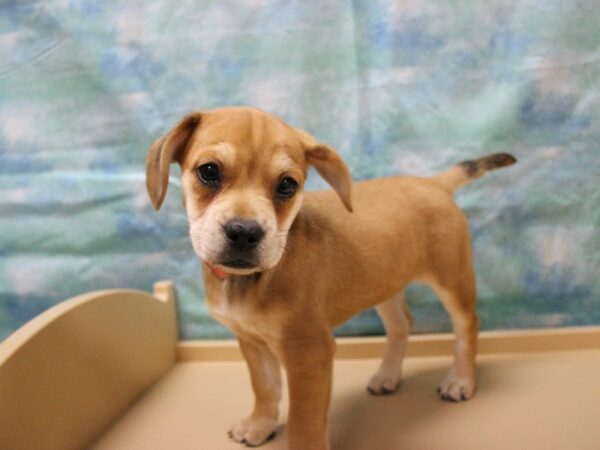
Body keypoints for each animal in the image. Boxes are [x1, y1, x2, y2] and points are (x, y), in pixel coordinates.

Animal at [144, 106, 516, 450]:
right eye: (209, 171)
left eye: (287, 185)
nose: (244, 233)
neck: (252, 280)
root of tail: (434, 183)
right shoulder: (251, 342)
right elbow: (265, 388)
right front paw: (260, 424)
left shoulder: (310, 353)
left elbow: (305, 423)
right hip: (385, 283)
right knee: (402, 325)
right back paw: (387, 376)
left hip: (452, 279)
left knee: (467, 325)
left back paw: (461, 381)